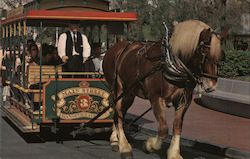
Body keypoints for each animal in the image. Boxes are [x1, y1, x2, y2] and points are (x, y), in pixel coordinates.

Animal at [102, 19, 226, 159]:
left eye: (220, 56)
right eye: (203, 52)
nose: (211, 86)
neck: (171, 64)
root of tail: (113, 48)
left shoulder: (184, 101)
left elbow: (177, 126)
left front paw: (174, 153)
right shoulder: (156, 98)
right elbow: (163, 129)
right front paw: (149, 145)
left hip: (129, 93)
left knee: (119, 113)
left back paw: (115, 140)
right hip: (118, 88)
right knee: (118, 112)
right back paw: (124, 147)